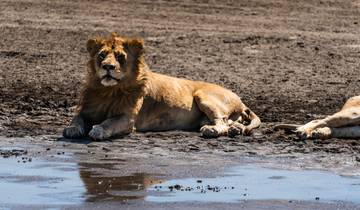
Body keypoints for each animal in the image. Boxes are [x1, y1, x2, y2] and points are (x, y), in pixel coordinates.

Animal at [63, 33, 260, 141]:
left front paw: (98, 130)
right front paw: (72, 129)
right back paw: (237, 129)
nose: (108, 67)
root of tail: (240, 99)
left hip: (203, 96)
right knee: (229, 122)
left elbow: (109, 121)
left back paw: (213, 130)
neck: (108, 91)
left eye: (120, 57)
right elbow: (77, 118)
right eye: (102, 55)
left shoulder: (128, 118)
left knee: (222, 122)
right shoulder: (87, 109)